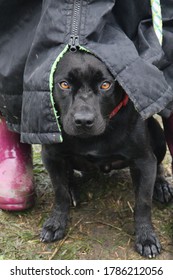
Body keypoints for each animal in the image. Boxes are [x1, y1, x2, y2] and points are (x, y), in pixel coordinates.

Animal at [40, 50, 172, 258]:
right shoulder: (52, 157)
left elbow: (143, 203)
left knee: (157, 164)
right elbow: (60, 193)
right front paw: (56, 223)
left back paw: (160, 185)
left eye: (105, 85)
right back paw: (72, 189)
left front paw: (146, 237)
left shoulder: (143, 161)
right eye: (64, 84)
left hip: (158, 136)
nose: (83, 121)